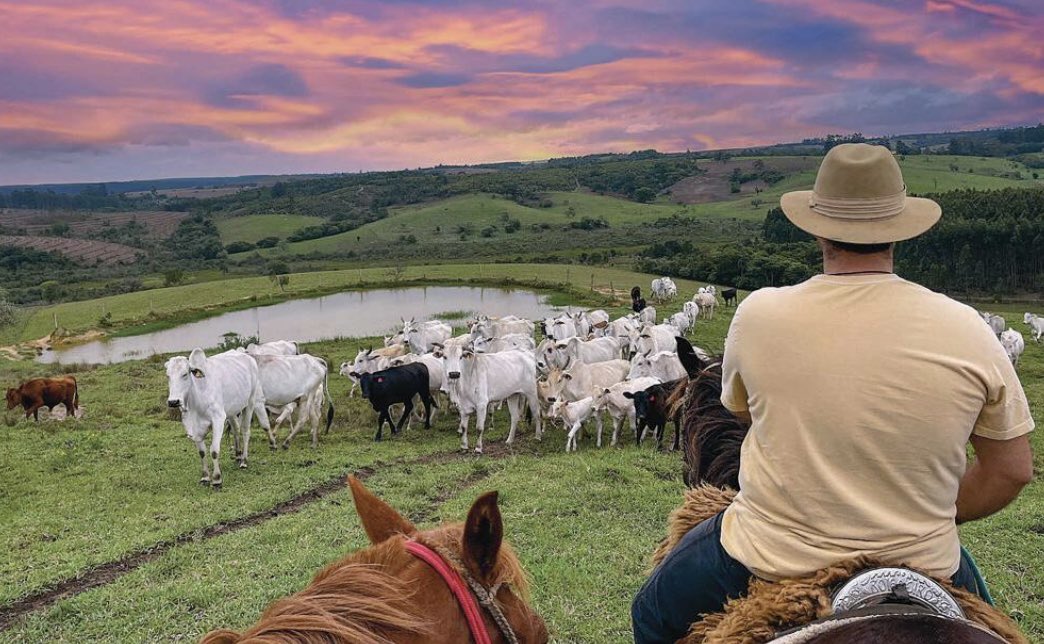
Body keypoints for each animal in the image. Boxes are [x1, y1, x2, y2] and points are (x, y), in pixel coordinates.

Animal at [163, 348, 269, 484]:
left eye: (185, 374)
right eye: (168, 376)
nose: (173, 402)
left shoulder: (218, 419)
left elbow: (213, 450)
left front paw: (217, 478)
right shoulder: (194, 427)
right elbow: (202, 452)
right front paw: (205, 477)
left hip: (250, 403)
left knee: (245, 431)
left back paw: (244, 461)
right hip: (231, 411)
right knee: (236, 429)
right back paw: (238, 455)